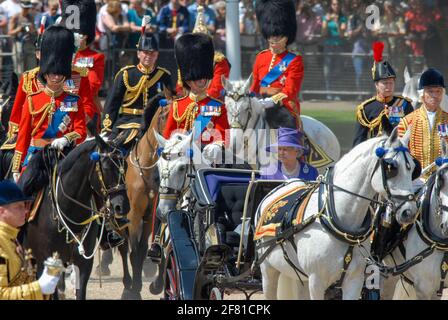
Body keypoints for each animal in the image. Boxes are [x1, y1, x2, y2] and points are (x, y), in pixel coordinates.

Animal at [21, 134, 130, 298]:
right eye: (105, 168)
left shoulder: (84, 263)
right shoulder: (45, 262)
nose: (123, 206)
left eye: (126, 166)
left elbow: (80, 291)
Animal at [256, 128, 420, 300]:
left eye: (412, 167)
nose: (410, 211)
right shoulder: (316, 281)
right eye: (391, 168)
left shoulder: (354, 280)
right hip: (268, 270)